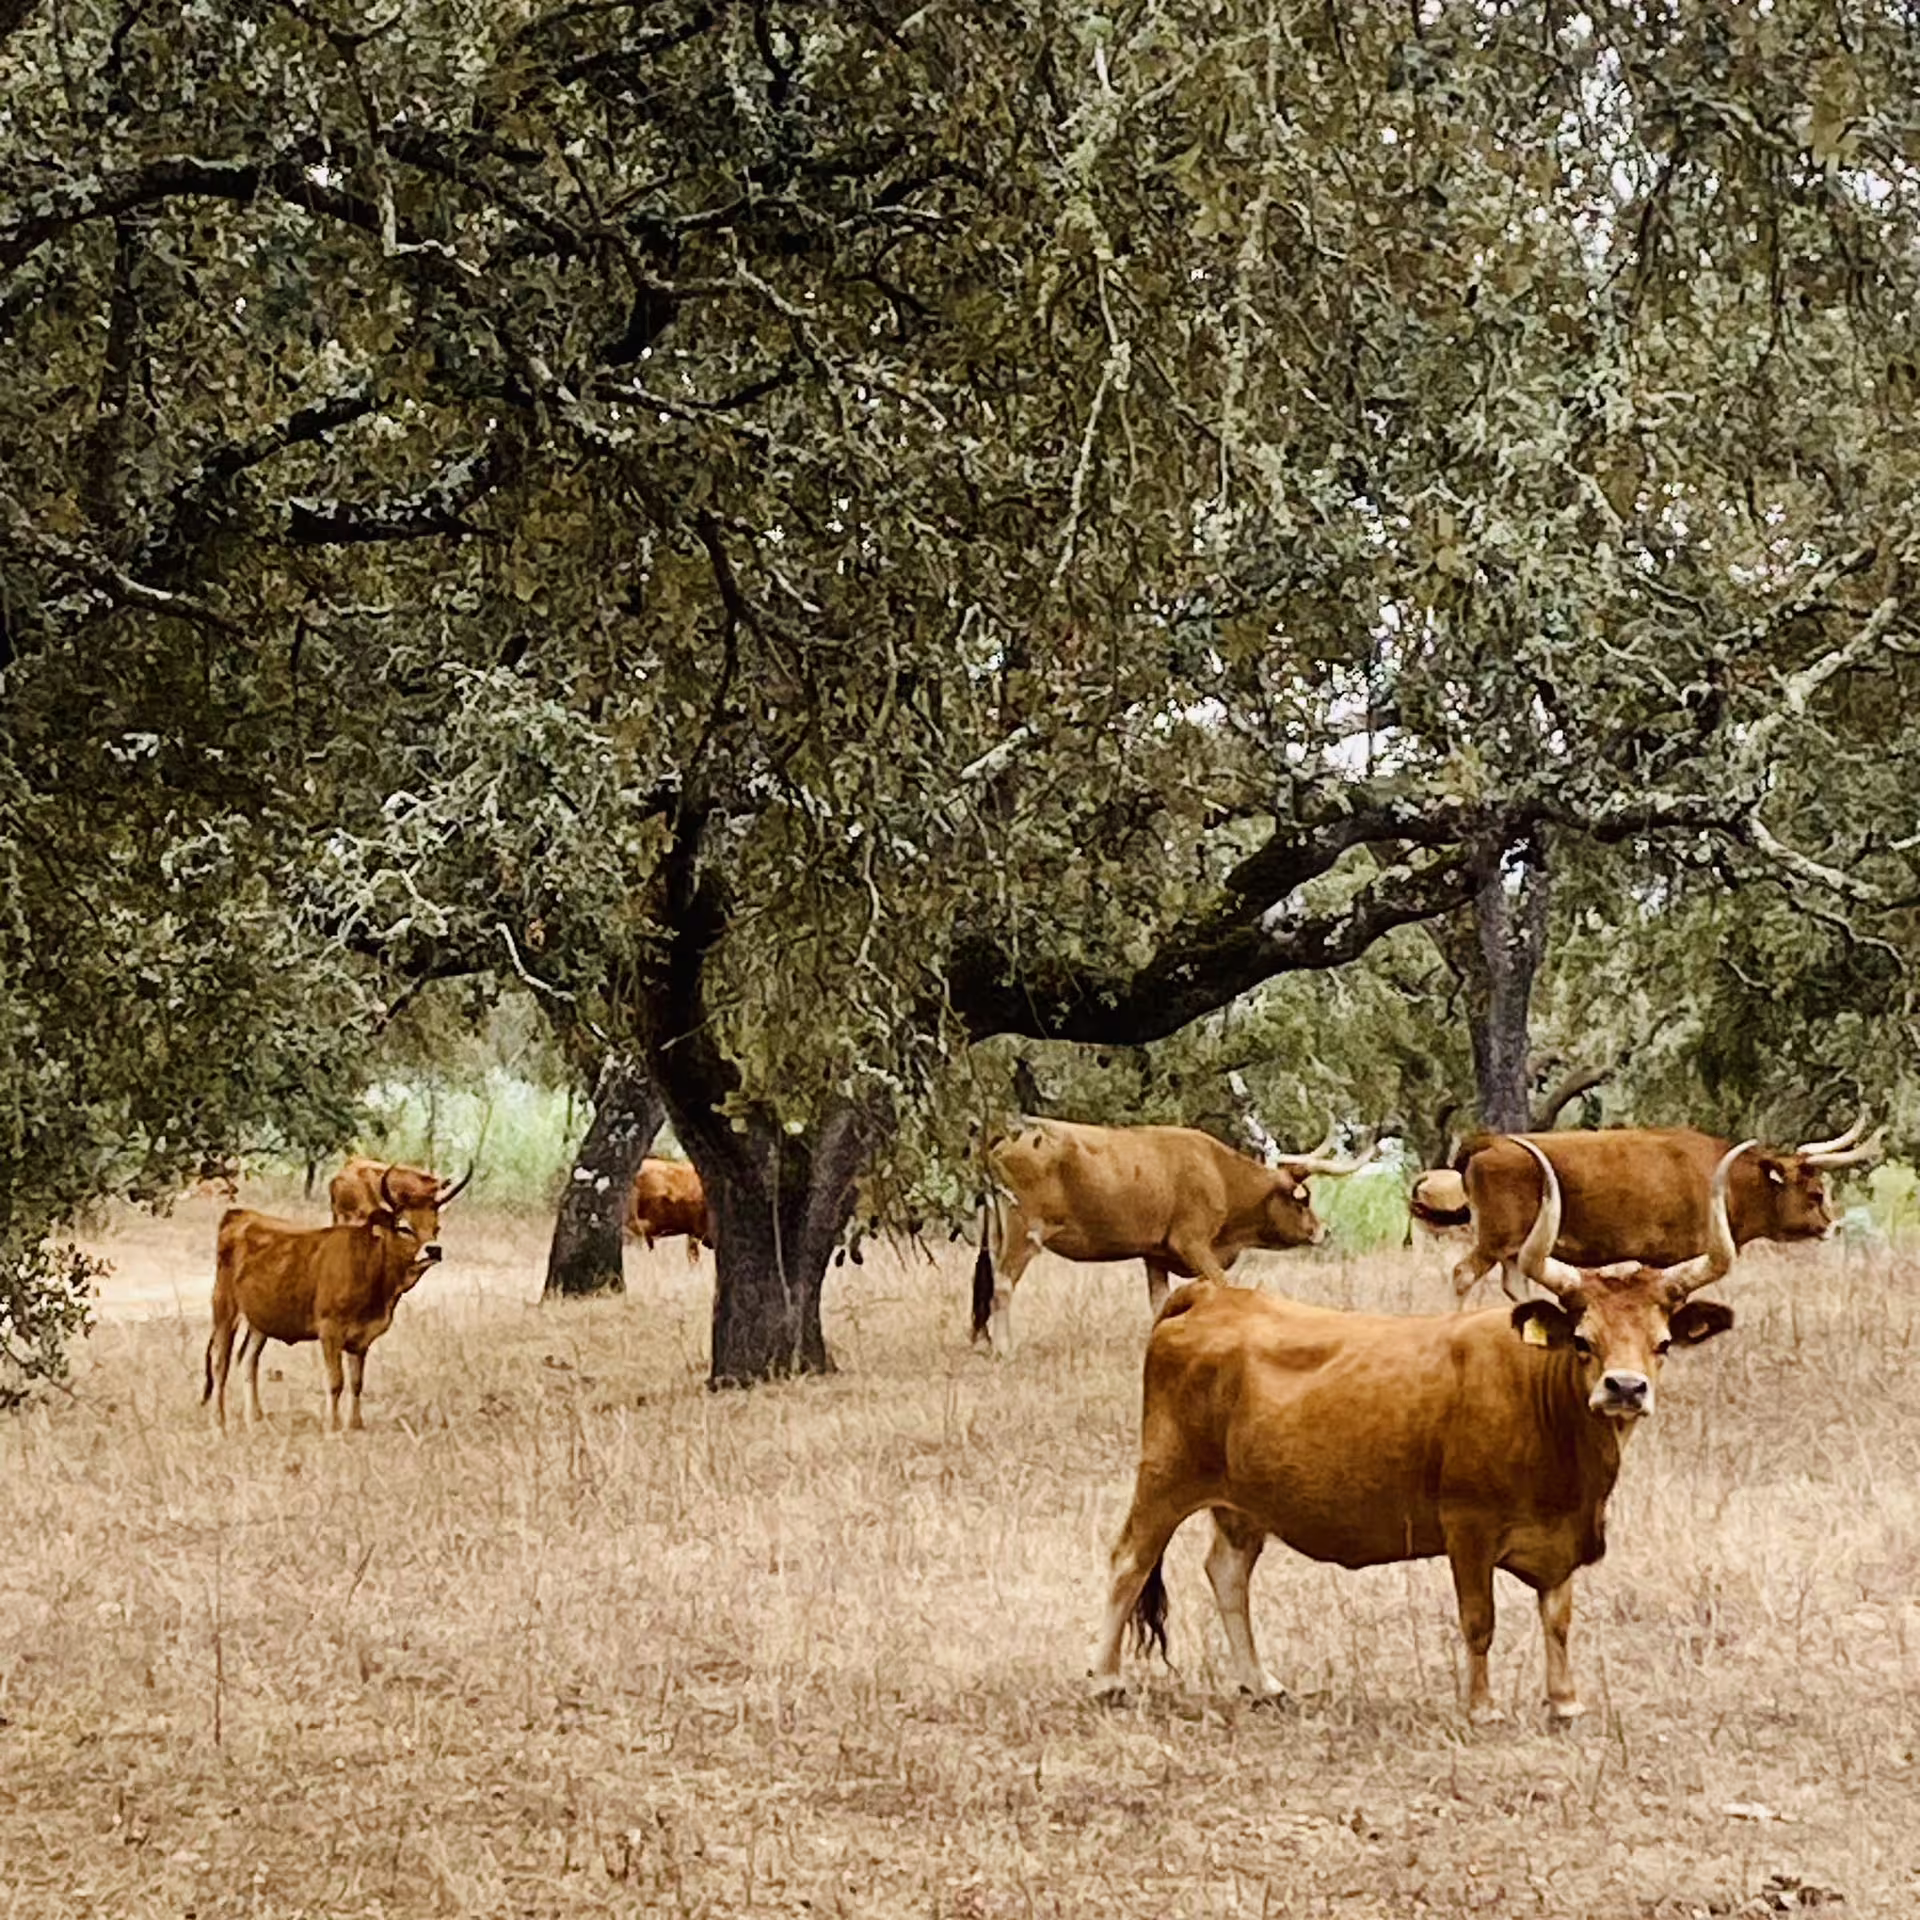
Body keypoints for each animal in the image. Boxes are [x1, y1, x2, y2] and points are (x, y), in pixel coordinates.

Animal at [203, 1169, 446, 1432]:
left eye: (436, 1227)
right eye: (404, 1227)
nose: (434, 1250)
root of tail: (239, 1214)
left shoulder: (362, 1337)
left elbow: (357, 1382)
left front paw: (356, 1425)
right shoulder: (330, 1330)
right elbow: (336, 1381)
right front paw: (332, 1426)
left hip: (260, 1318)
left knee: (248, 1359)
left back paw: (254, 1419)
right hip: (224, 1306)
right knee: (220, 1362)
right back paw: (219, 1422)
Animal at [971, 1118, 1372, 1355]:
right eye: (1303, 1200)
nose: (1322, 1230)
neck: (1219, 1174)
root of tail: (1004, 1140)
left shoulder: (1155, 1255)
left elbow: (1159, 1302)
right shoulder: (1192, 1243)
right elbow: (1222, 1286)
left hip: (997, 1233)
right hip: (1025, 1231)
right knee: (1003, 1284)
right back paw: (1004, 1349)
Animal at [1090, 1135, 1753, 1723]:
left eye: (1661, 1343)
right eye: (1584, 1340)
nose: (1625, 1389)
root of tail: (1208, 1299)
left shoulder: (1562, 1540)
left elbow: (1558, 1618)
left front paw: (1564, 1702)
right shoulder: (1468, 1527)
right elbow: (1479, 1619)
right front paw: (1481, 1707)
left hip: (1242, 1502)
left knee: (1227, 1574)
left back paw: (1261, 1682)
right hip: (1165, 1476)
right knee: (1128, 1562)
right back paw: (1106, 1678)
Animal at [1442, 1117, 1879, 1301]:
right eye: (1815, 1193)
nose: (1832, 1226)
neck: (1726, 1180)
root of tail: (1490, 1142)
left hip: (1515, 1250)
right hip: (1495, 1239)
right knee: (1462, 1274)